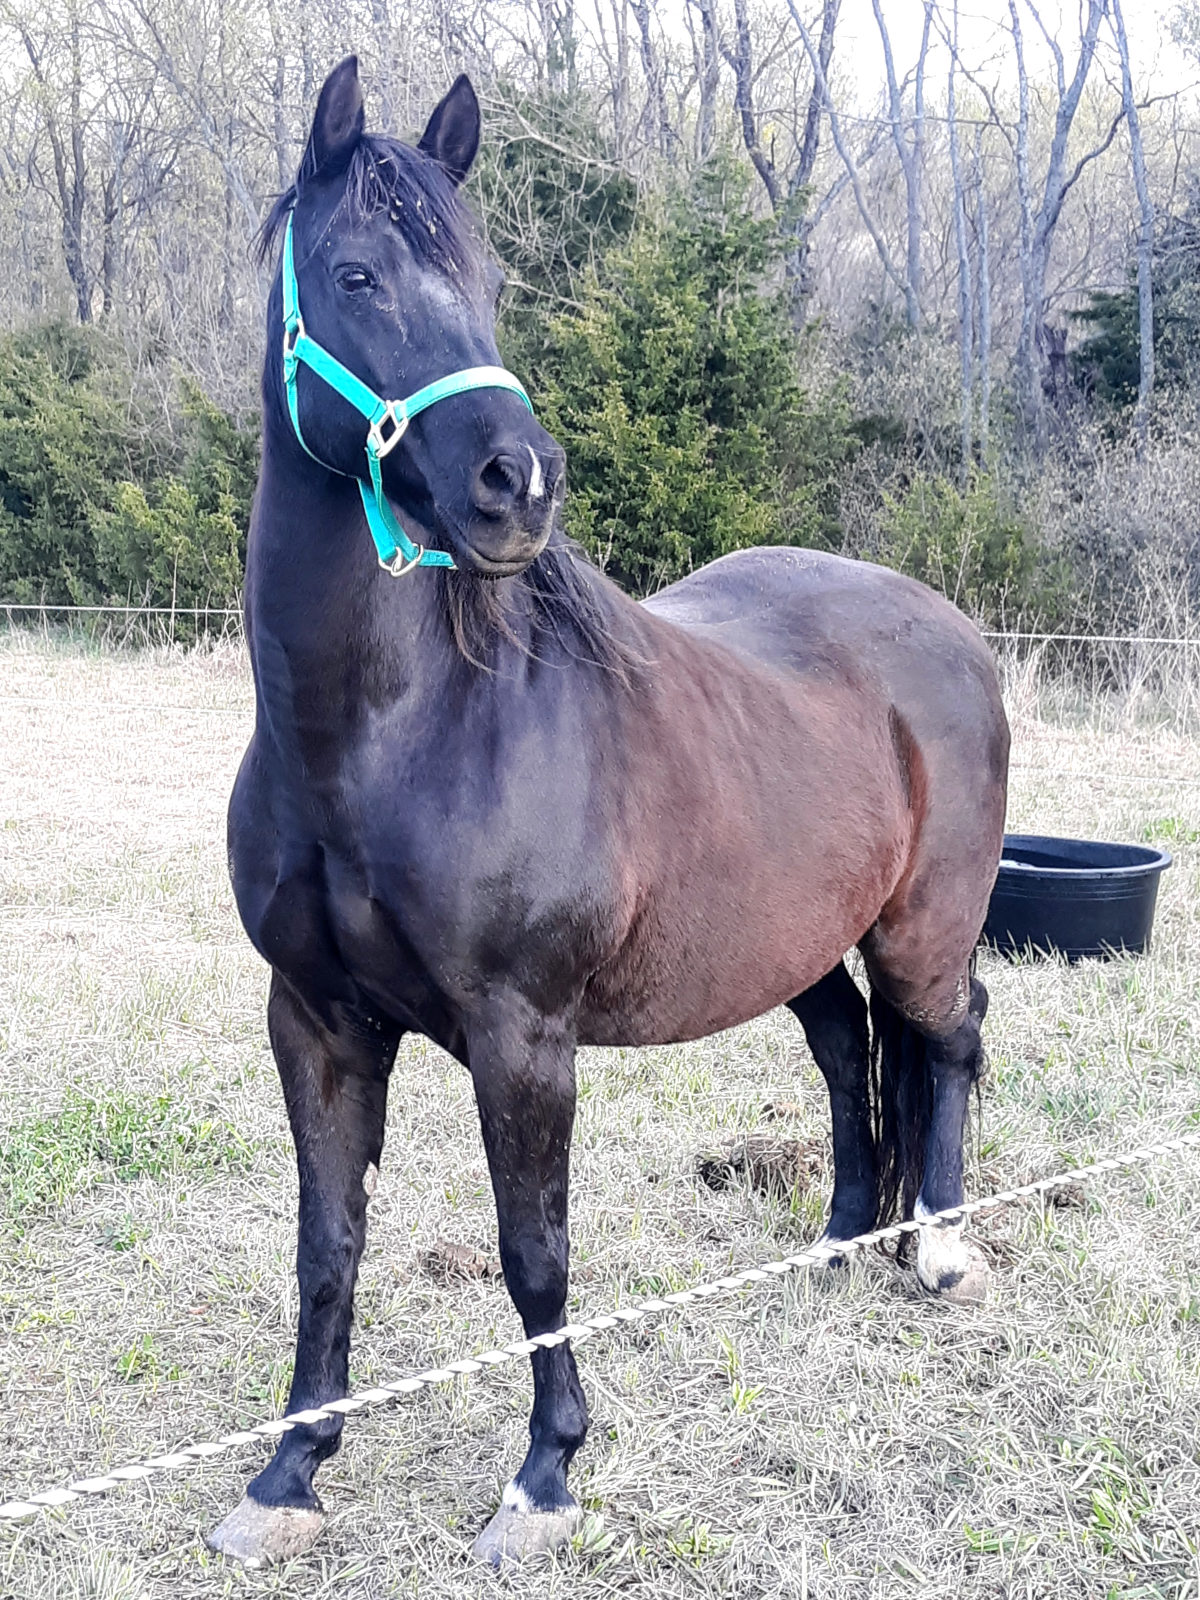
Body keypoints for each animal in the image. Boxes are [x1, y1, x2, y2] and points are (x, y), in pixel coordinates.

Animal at [214, 59, 1004, 1561]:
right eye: (355, 273)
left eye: (490, 280)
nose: (517, 482)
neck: (396, 739)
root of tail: (949, 628)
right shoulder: (315, 1022)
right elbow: (324, 1243)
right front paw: (287, 1475)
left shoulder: (522, 1038)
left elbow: (535, 1255)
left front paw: (544, 1477)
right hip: (791, 943)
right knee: (849, 1053)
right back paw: (838, 1241)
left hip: (923, 927)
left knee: (948, 1042)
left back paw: (935, 1248)